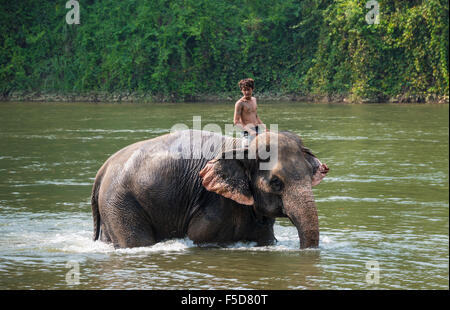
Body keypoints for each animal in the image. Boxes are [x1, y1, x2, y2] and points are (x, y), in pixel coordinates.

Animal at [91, 129, 328, 249]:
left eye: (310, 175)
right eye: (276, 182)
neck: (242, 147)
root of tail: (103, 169)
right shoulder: (216, 204)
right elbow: (200, 236)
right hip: (120, 201)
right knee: (137, 241)